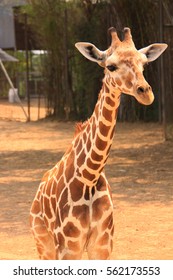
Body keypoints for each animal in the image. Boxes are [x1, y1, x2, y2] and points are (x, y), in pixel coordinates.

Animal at [30, 27, 168, 260]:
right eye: (110, 66)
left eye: (144, 64)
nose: (146, 93)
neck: (90, 177)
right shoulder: (68, 247)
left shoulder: (102, 245)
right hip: (44, 244)